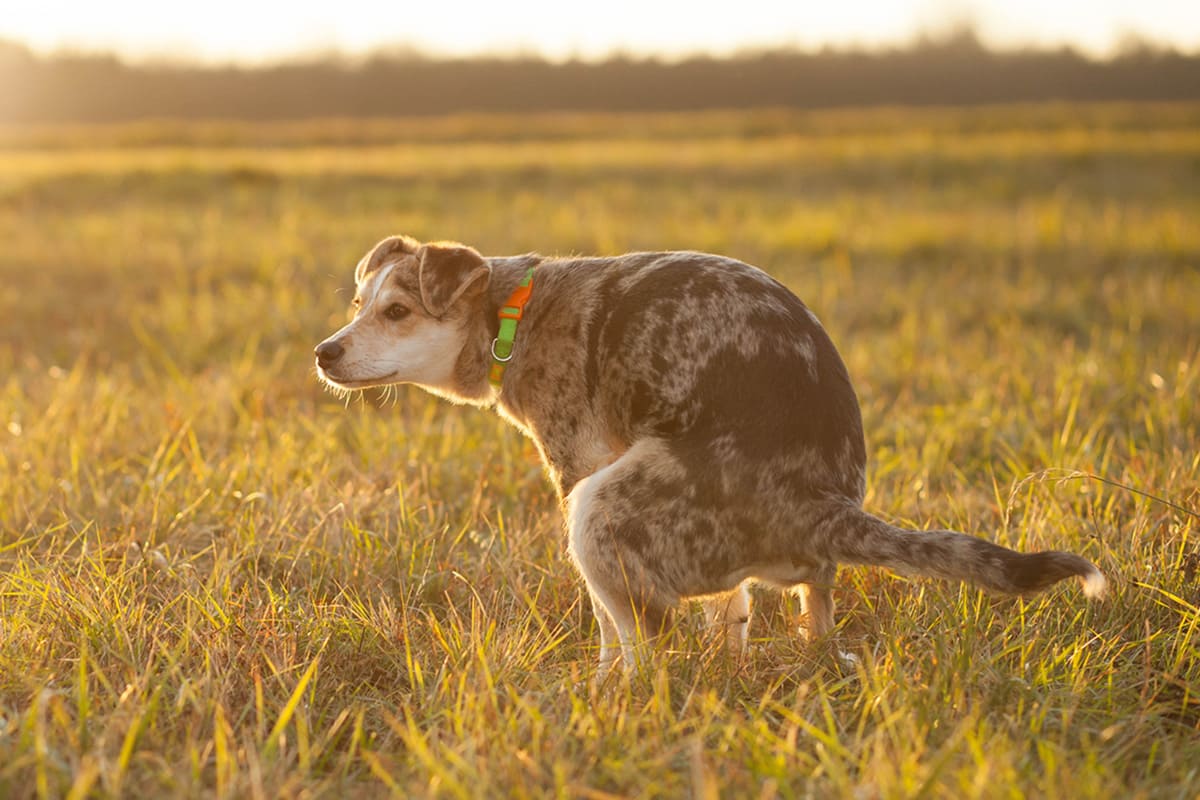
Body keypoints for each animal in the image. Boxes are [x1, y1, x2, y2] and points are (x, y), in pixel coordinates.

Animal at [316, 235, 1104, 681]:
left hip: (599, 508)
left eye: (396, 312)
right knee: (804, 614)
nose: (323, 352)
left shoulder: (577, 468)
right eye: (356, 304)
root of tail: (823, 507)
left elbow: (608, 629)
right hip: (779, 570)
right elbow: (732, 612)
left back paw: (624, 700)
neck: (513, 312)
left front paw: (600, 685)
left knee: (647, 645)